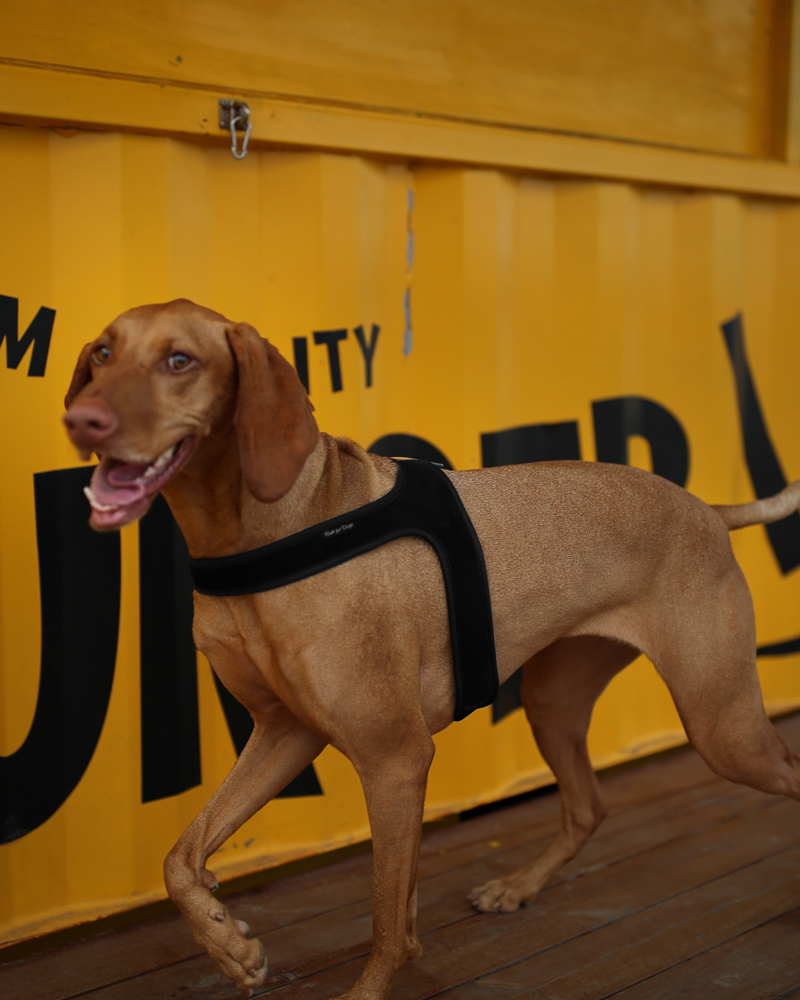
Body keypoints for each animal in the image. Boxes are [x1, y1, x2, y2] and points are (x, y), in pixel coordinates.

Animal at [64, 300, 800, 996]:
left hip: (722, 723)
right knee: (589, 805)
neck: (265, 532)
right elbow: (180, 859)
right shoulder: (284, 733)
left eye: (180, 360)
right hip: (555, 704)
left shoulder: (394, 758)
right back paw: (518, 887)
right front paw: (229, 946)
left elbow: (387, 922)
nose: (81, 419)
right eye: (102, 353)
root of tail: (708, 509)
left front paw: (362, 990)